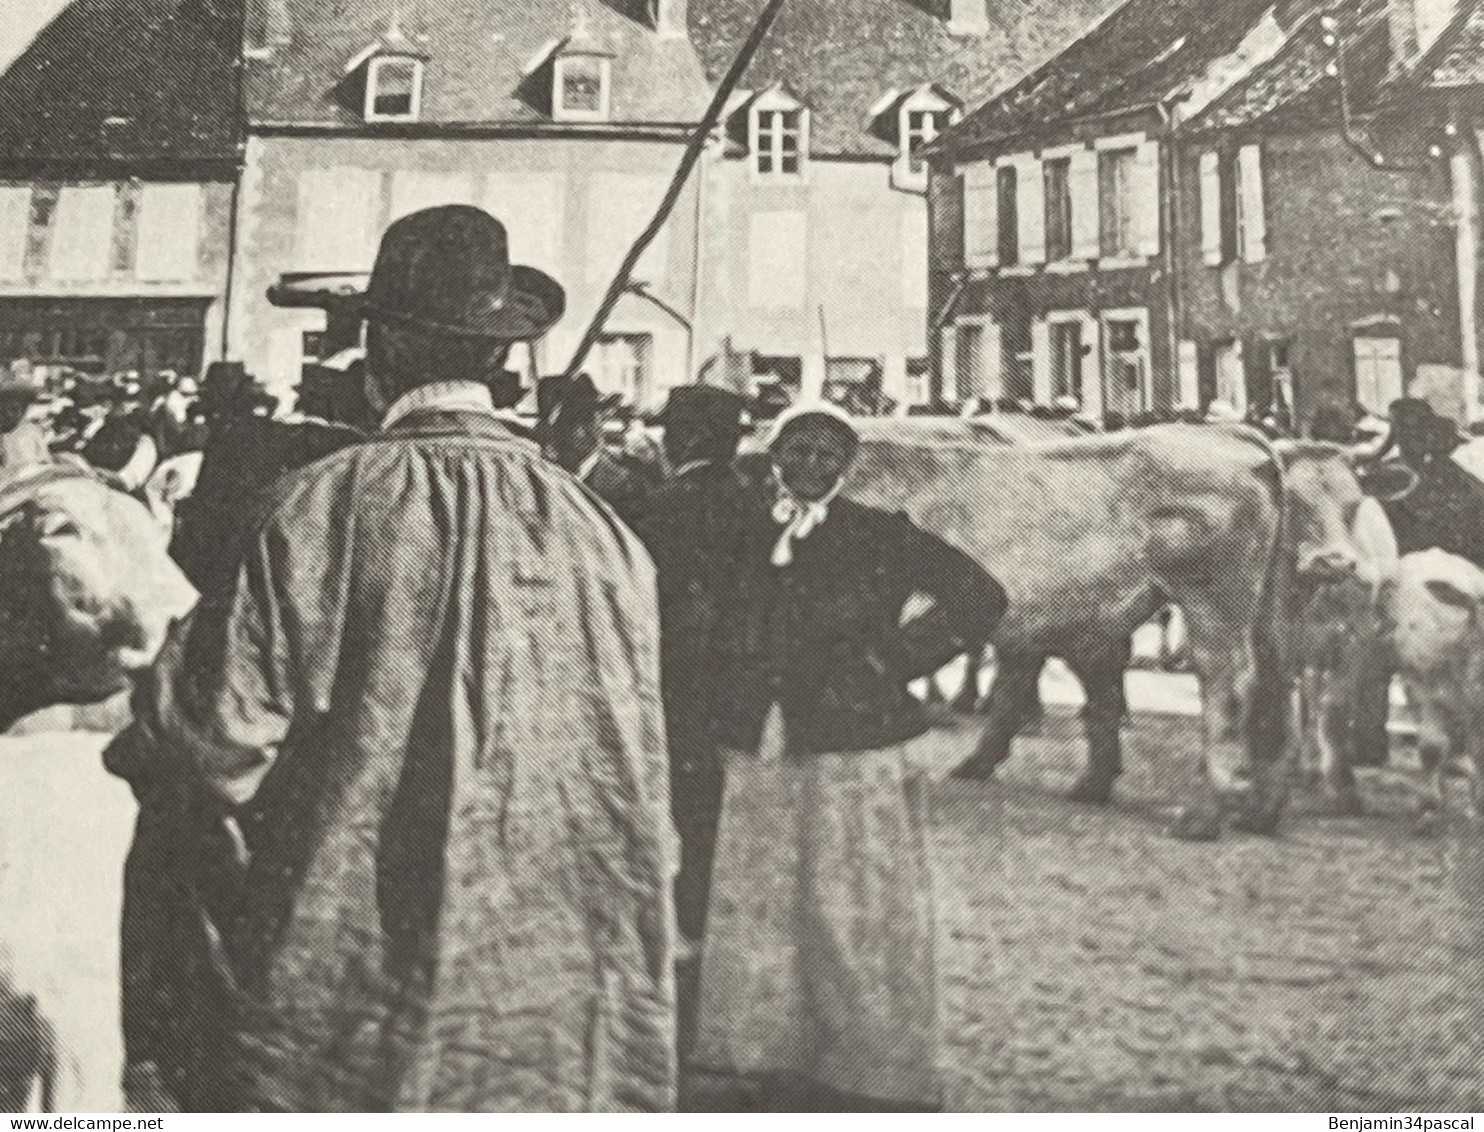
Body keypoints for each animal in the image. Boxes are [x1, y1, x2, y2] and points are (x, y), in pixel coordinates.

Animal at [848, 424, 1365, 842]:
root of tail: (1233, 436)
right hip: (1269, 610)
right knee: (1275, 684)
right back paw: (1259, 813)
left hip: (1212, 603)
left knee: (1229, 685)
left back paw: (1200, 816)